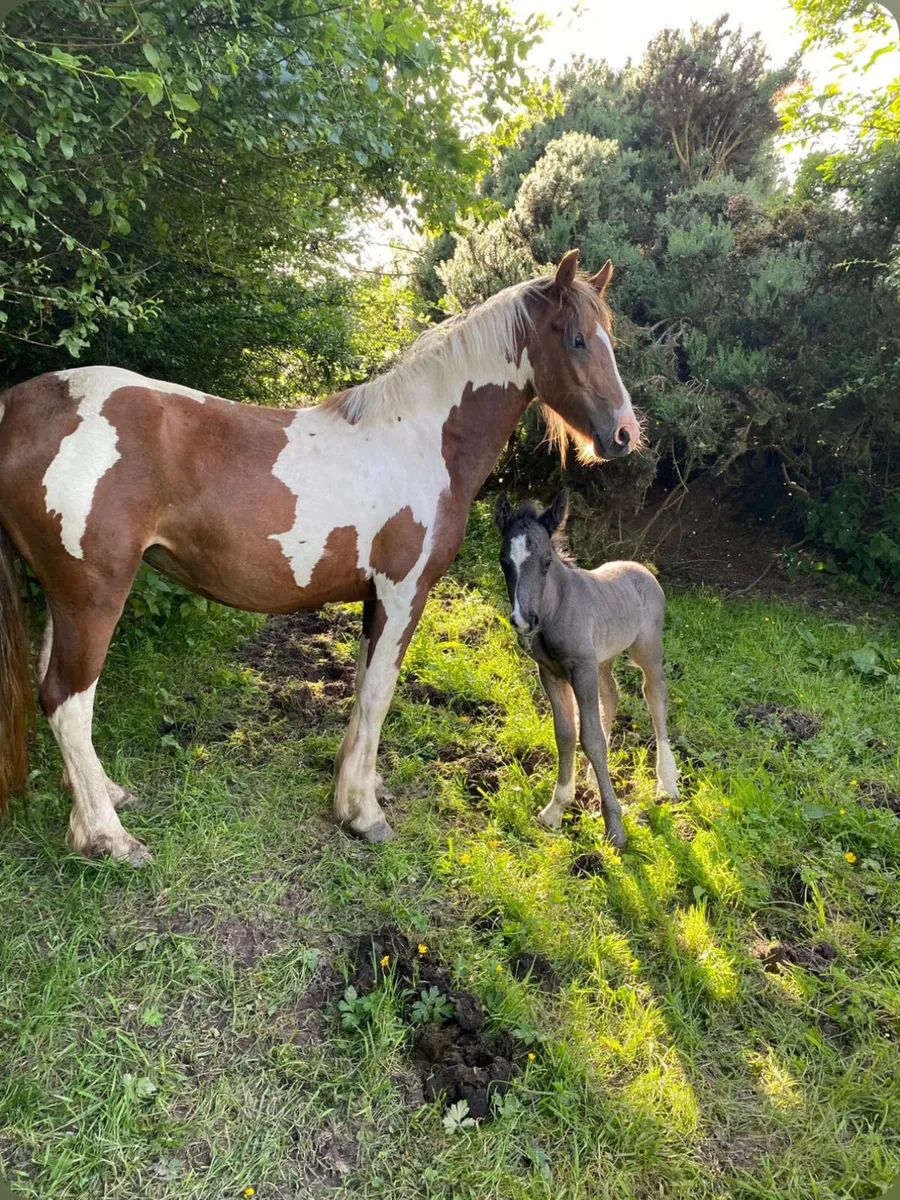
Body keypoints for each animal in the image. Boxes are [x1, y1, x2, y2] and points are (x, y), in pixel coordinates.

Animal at [0, 249, 641, 865]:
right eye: (577, 339)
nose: (625, 435)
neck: (423, 438)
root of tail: (20, 407)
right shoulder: (403, 593)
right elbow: (380, 693)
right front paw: (362, 814)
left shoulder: (375, 599)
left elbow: (361, 687)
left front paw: (356, 787)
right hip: (94, 593)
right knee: (67, 701)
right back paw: (109, 838)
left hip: (66, 595)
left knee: (53, 689)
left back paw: (100, 798)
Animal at [494, 491, 679, 848]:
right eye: (504, 561)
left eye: (546, 562)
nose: (524, 620)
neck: (556, 609)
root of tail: (643, 569)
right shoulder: (551, 673)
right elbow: (566, 733)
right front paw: (556, 808)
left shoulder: (582, 669)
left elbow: (590, 738)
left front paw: (615, 827)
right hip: (604, 658)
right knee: (612, 693)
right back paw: (596, 775)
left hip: (647, 651)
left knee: (655, 694)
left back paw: (668, 782)